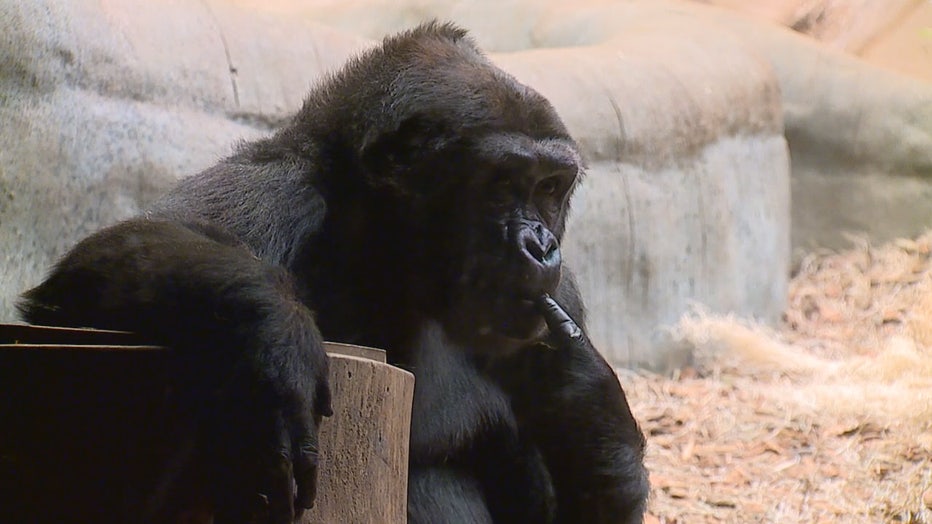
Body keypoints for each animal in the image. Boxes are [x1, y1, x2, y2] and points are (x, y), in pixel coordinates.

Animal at [14, 21, 644, 524]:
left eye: (550, 188)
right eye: (503, 184)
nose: (541, 245)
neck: (390, 259)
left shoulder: (562, 298)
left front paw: (597, 428)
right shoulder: (276, 185)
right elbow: (121, 252)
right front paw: (276, 334)